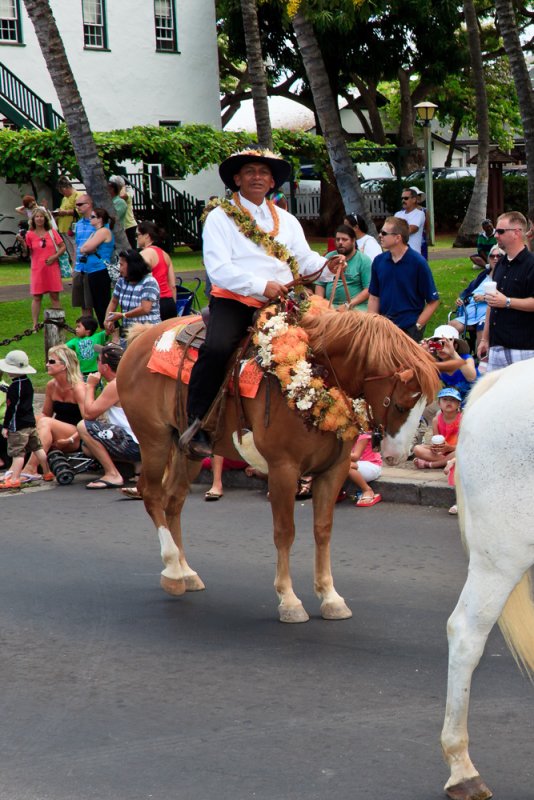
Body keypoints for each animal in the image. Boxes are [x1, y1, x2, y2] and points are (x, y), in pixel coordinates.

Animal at [117, 310, 440, 620]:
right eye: (400, 405)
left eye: (425, 406)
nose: (398, 456)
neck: (319, 374)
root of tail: (143, 336)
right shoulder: (283, 469)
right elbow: (285, 531)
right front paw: (289, 600)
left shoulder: (333, 470)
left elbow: (323, 529)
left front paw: (330, 597)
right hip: (154, 438)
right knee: (152, 494)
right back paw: (172, 569)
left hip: (189, 451)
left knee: (173, 500)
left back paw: (186, 572)